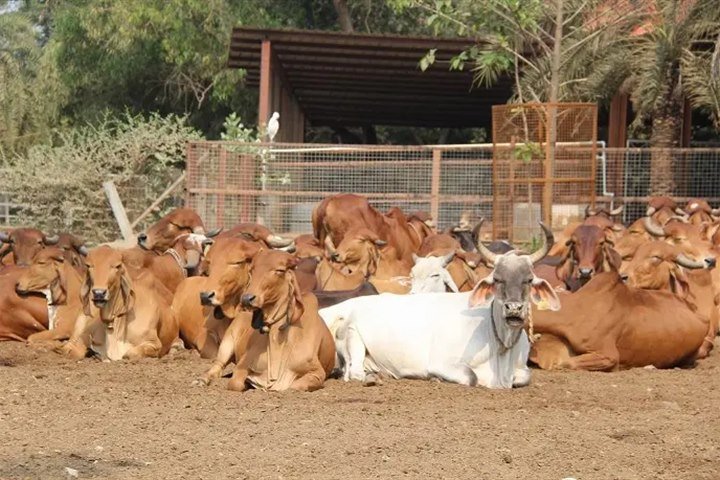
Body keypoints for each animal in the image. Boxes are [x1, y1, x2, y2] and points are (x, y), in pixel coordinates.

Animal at [195, 250, 336, 392]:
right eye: (252, 269)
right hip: (227, 342)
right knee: (217, 366)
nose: (247, 298)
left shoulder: (317, 372)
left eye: (280, 270)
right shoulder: (243, 363)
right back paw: (201, 380)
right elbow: (236, 383)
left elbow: (295, 386)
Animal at [321, 222, 560, 389]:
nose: (514, 309)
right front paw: (436, 379)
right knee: (354, 372)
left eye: (529, 279)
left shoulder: (520, 369)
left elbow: (524, 377)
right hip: (353, 336)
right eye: (497, 279)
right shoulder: (442, 362)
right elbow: (471, 377)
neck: (501, 347)